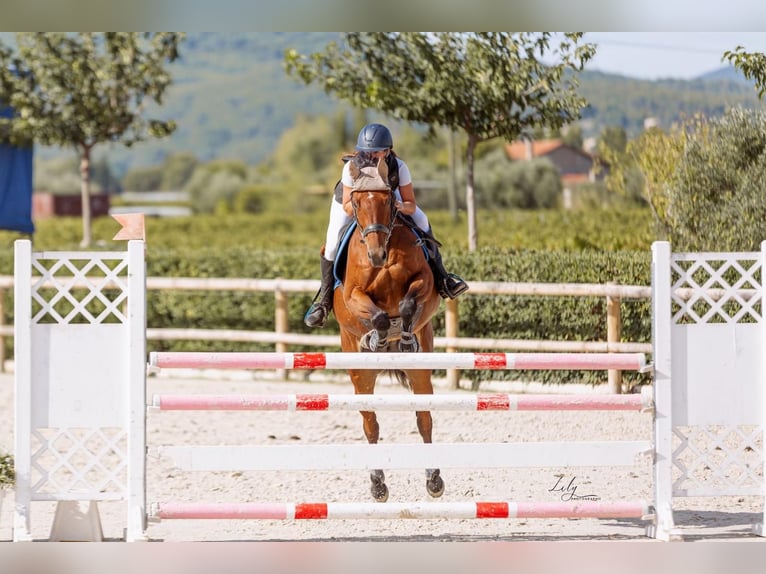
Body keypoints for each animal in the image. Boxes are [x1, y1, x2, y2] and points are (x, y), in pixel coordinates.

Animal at [332, 156, 444, 503]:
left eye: (388, 201)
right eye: (356, 202)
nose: (376, 255)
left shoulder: (425, 282)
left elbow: (407, 304)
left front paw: (403, 336)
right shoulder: (353, 294)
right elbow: (379, 316)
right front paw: (378, 338)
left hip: (421, 371)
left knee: (424, 419)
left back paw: (434, 480)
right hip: (360, 375)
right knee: (371, 424)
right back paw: (377, 484)